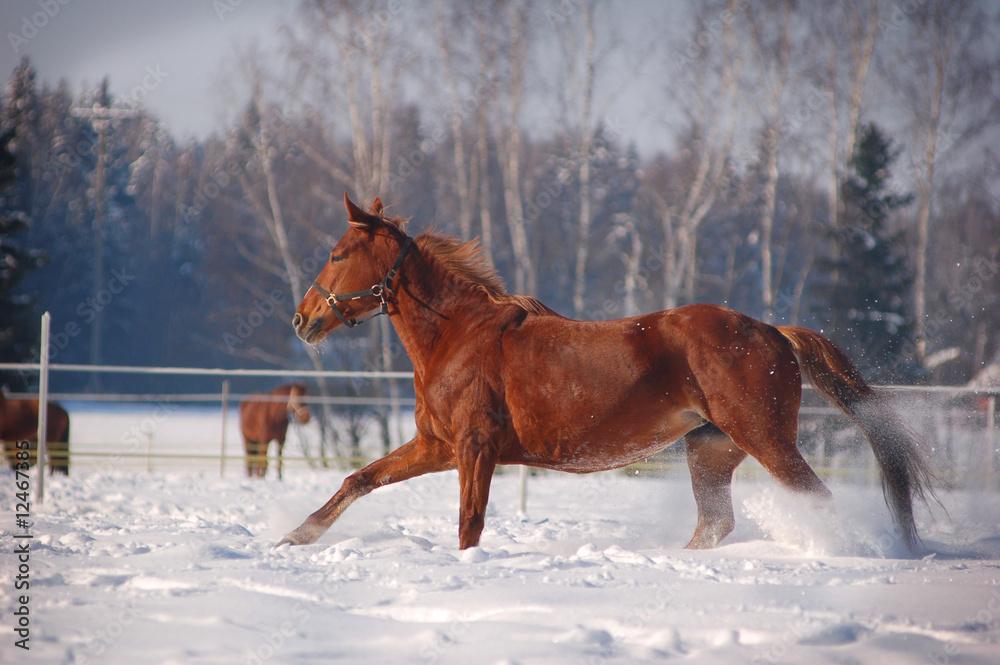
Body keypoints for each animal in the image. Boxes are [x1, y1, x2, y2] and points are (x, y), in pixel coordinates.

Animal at [279, 194, 934, 552]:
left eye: (337, 255)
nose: (302, 319)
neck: (458, 336)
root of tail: (773, 332)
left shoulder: (474, 446)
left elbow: (469, 524)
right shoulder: (436, 445)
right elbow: (358, 480)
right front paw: (293, 538)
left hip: (766, 439)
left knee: (814, 500)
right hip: (710, 449)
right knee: (714, 523)